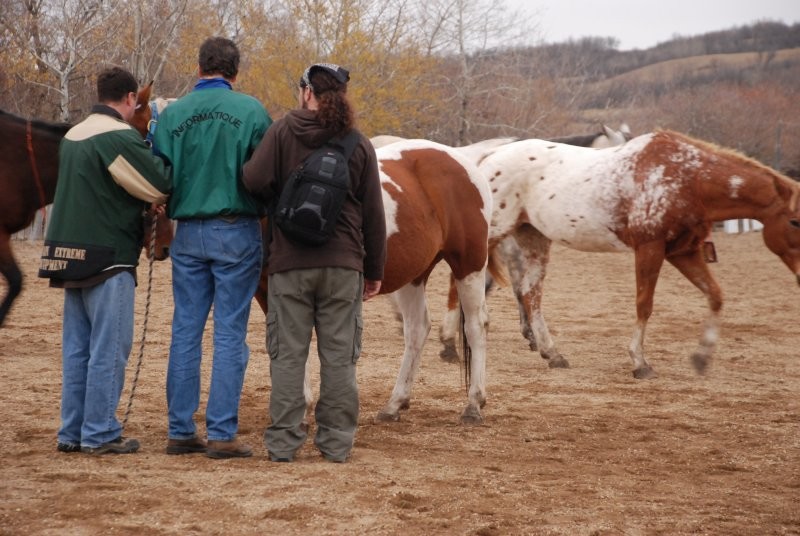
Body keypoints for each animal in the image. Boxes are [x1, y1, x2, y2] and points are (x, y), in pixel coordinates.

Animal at [482, 130, 800, 378]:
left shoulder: (683, 252)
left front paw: (702, 357)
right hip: (492, 234)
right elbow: (644, 304)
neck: (688, 178)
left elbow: (715, 296)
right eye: (795, 221)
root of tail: (487, 158)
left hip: (534, 239)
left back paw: (552, 353)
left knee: (530, 292)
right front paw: (640, 362)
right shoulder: (650, 248)